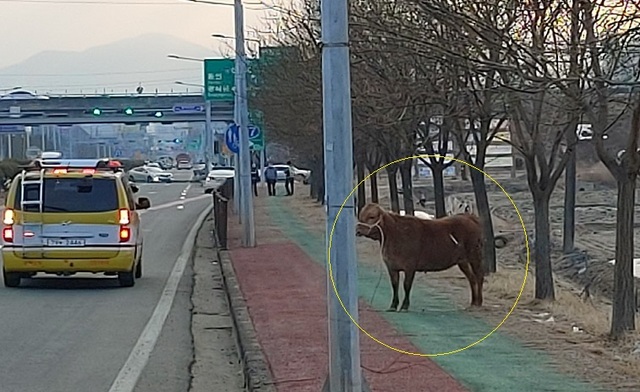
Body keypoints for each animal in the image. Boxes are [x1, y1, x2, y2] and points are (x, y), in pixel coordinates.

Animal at [356, 204, 484, 310]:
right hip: (463, 261)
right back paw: (473, 302)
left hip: (475, 255)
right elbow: (395, 285)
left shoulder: (410, 266)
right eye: (360, 216)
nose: (358, 230)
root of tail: (469, 216)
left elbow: (406, 285)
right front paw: (393, 305)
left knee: (479, 276)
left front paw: (404, 306)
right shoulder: (391, 266)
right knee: (472, 278)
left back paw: (479, 302)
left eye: (371, 216)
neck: (393, 235)